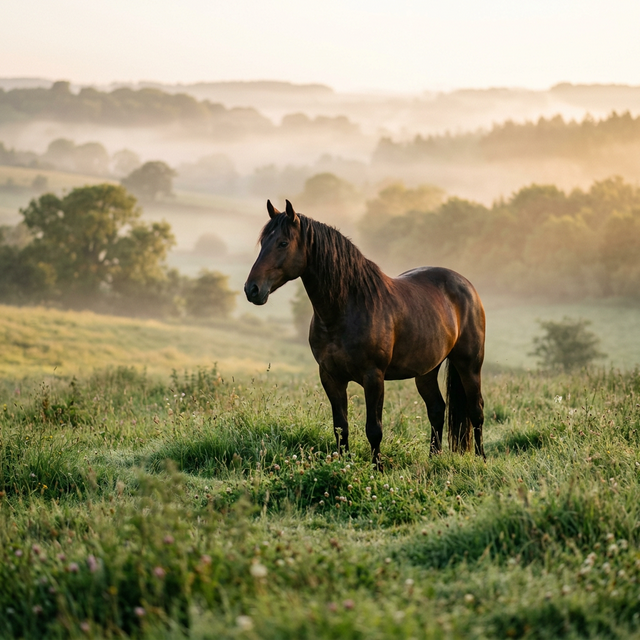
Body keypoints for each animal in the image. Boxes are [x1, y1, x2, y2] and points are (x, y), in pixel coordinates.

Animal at [244, 200, 486, 466]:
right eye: (263, 242)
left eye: (283, 243)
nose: (252, 289)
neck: (346, 309)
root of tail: (466, 285)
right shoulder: (331, 376)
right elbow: (340, 426)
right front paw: (343, 463)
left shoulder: (373, 377)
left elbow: (374, 429)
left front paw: (377, 467)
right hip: (426, 371)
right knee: (436, 409)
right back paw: (434, 458)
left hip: (469, 365)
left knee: (476, 410)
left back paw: (482, 458)